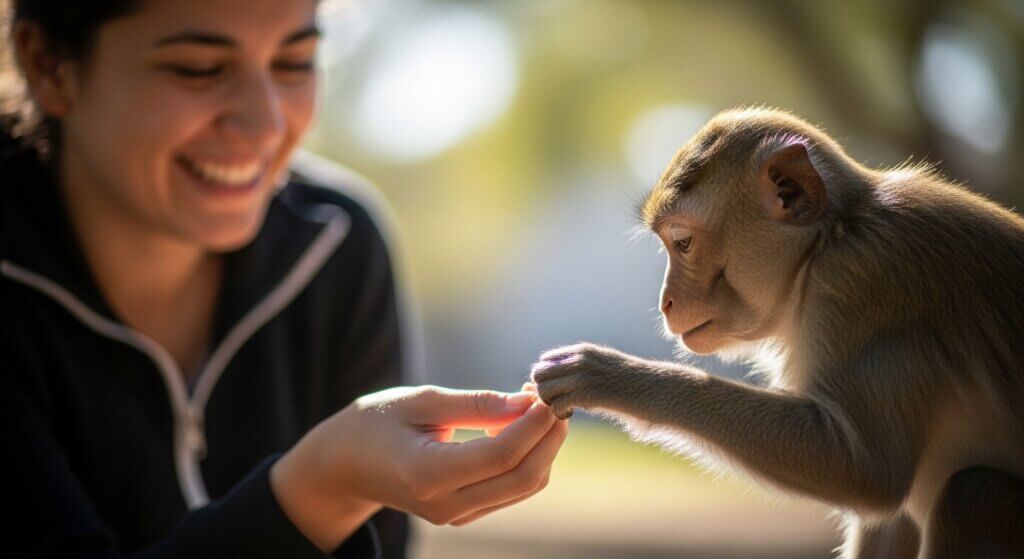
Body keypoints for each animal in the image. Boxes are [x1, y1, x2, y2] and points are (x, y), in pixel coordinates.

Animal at [530, 107, 1024, 558]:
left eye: (683, 243)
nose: (665, 302)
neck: (830, 238)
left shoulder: (862, 284)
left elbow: (866, 471)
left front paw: (613, 378)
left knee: (971, 495)